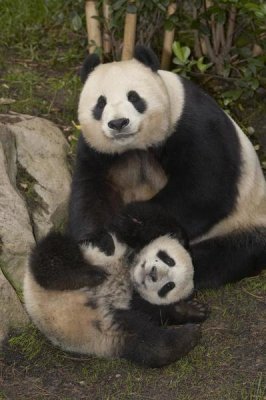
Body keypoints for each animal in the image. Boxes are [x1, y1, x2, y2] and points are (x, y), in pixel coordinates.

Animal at [24, 208, 208, 368]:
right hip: (48, 277)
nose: (153, 274)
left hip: (111, 323)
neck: (129, 270)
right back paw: (88, 275)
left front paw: (193, 309)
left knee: (144, 342)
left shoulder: (134, 301)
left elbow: (154, 311)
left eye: (169, 286)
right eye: (169, 260)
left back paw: (188, 336)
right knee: (52, 254)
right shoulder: (109, 238)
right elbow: (125, 228)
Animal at [69, 45, 266, 290]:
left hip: (245, 220)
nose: (118, 123)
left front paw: (133, 220)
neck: (134, 145)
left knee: (226, 254)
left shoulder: (194, 125)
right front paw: (99, 244)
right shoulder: (96, 149)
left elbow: (204, 191)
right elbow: (91, 189)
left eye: (134, 97)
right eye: (100, 103)